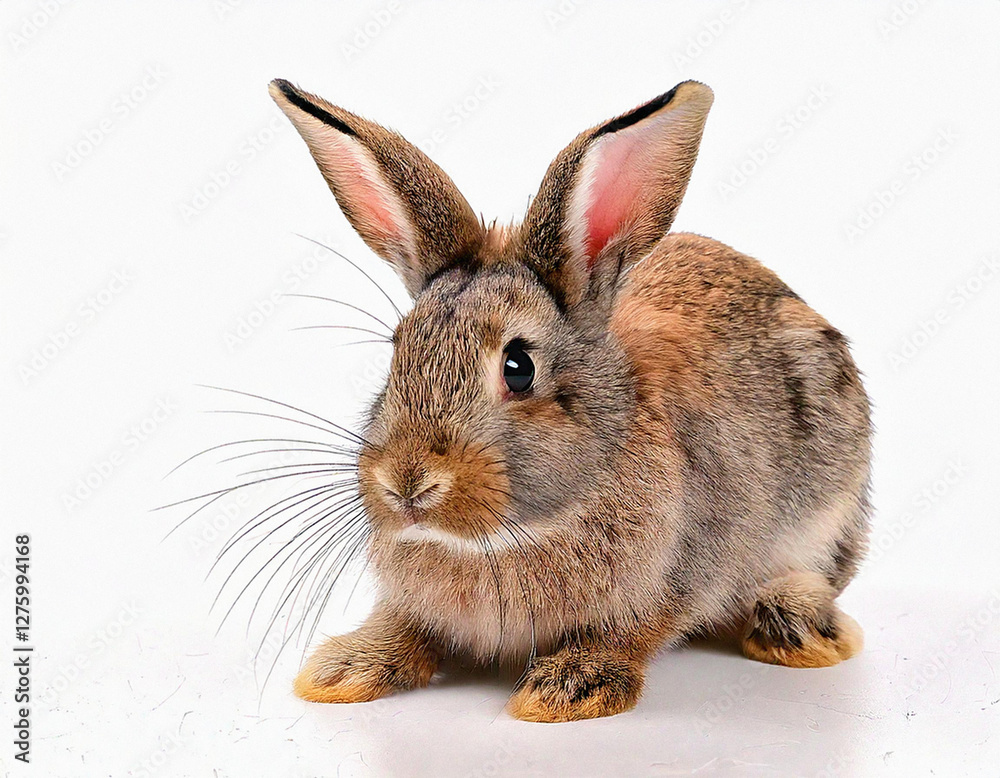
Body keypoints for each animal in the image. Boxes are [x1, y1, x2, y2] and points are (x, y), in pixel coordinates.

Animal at [268, 77, 872, 722]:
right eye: (397, 351)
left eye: (518, 367)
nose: (406, 484)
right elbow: (407, 626)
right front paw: (345, 670)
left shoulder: (677, 577)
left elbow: (631, 631)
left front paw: (566, 690)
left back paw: (798, 630)